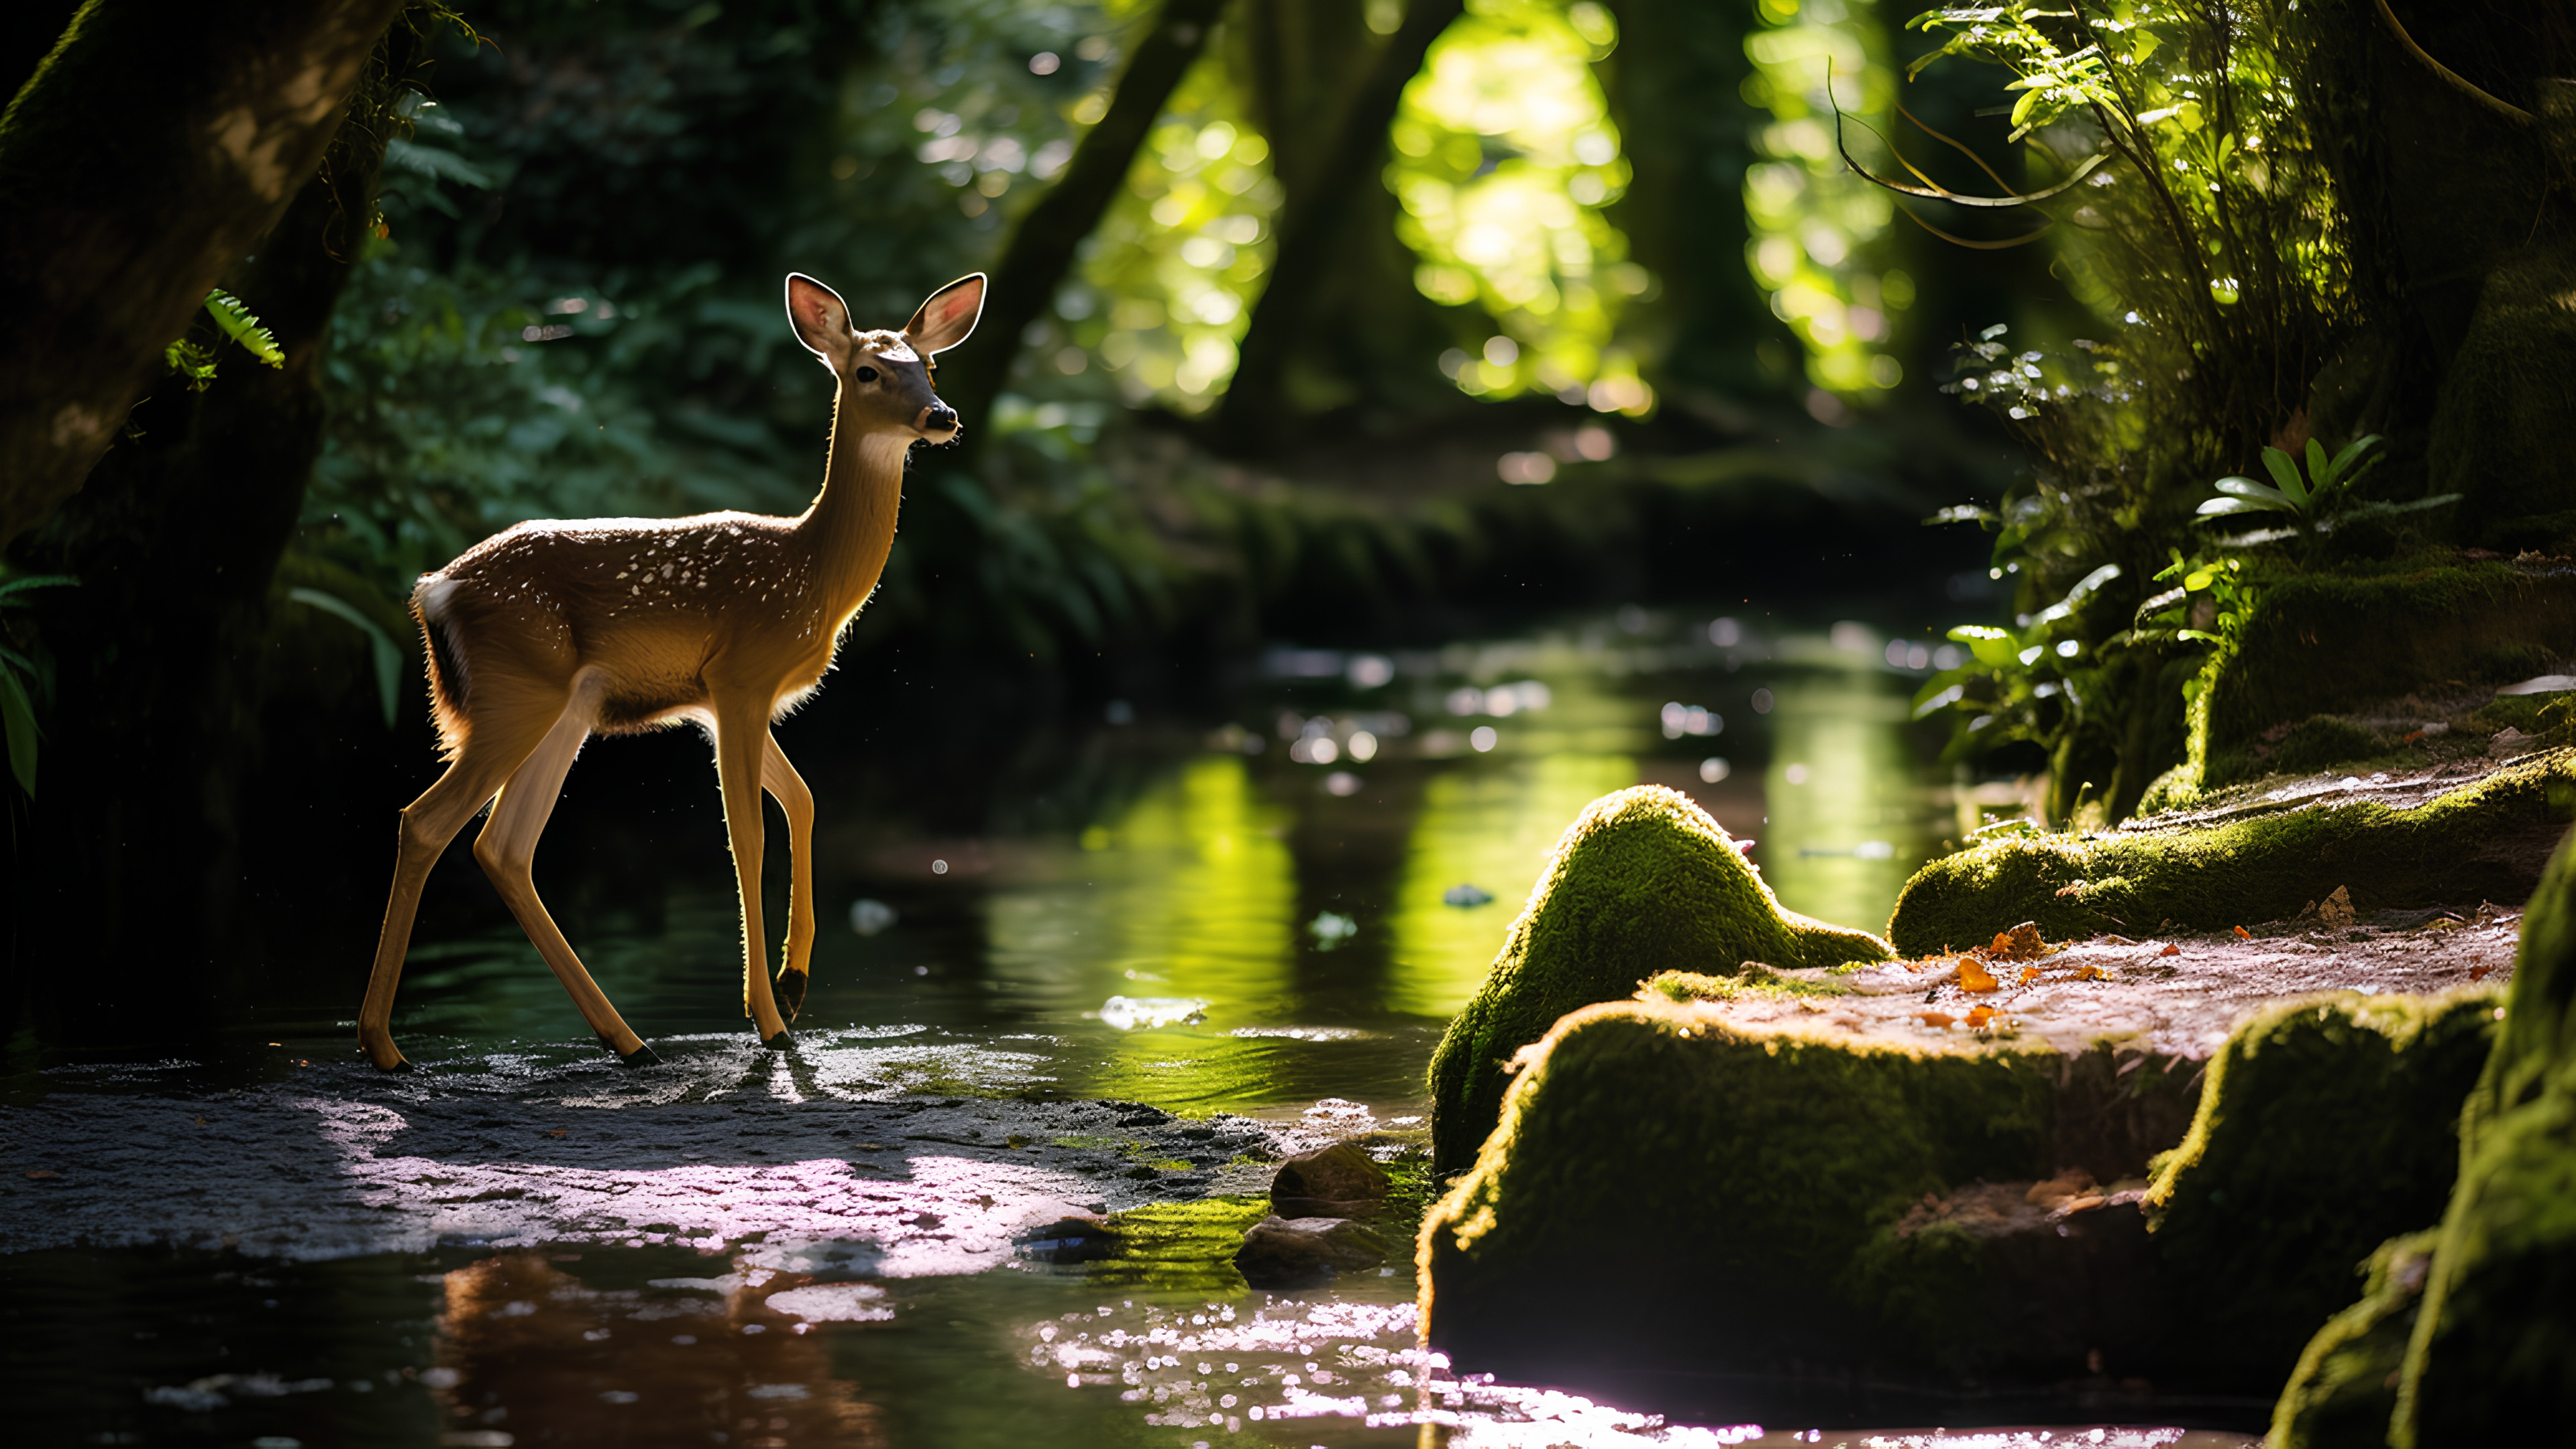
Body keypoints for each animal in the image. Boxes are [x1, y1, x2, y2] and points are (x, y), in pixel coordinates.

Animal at [353, 270, 973, 1067]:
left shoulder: (720, 697)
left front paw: (794, 984)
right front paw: (769, 1019)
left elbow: (803, 800)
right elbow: (748, 834)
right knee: (427, 823)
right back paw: (384, 1047)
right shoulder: (740, 678)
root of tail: (434, 588)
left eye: (929, 366)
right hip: (514, 694)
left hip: (564, 709)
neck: (812, 571)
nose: (941, 416)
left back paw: (628, 1040)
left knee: (503, 846)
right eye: (868, 370)